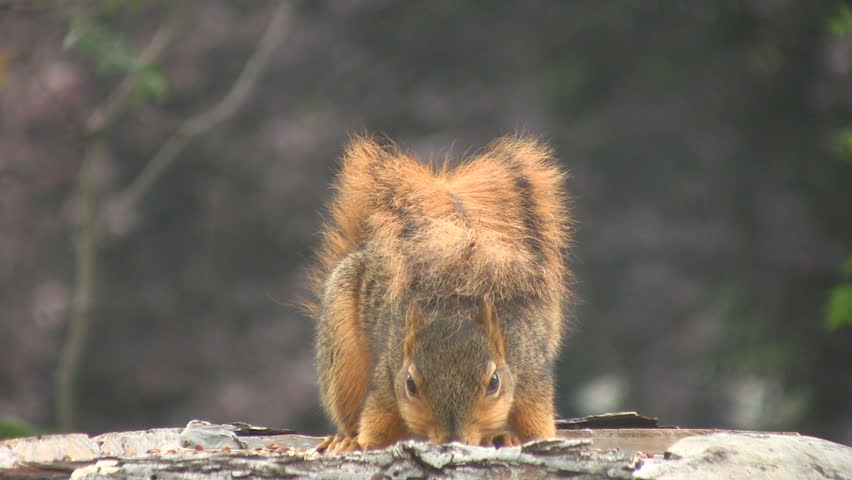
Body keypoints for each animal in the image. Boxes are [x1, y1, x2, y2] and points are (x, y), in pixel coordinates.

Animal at [308, 135, 572, 453]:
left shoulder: (530, 375)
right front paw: (360, 444)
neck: (453, 309)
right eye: (410, 384)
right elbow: (376, 424)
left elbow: (537, 426)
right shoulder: (388, 376)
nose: (453, 438)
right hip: (343, 353)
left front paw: (516, 436)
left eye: (494, 382)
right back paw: (344, 438)